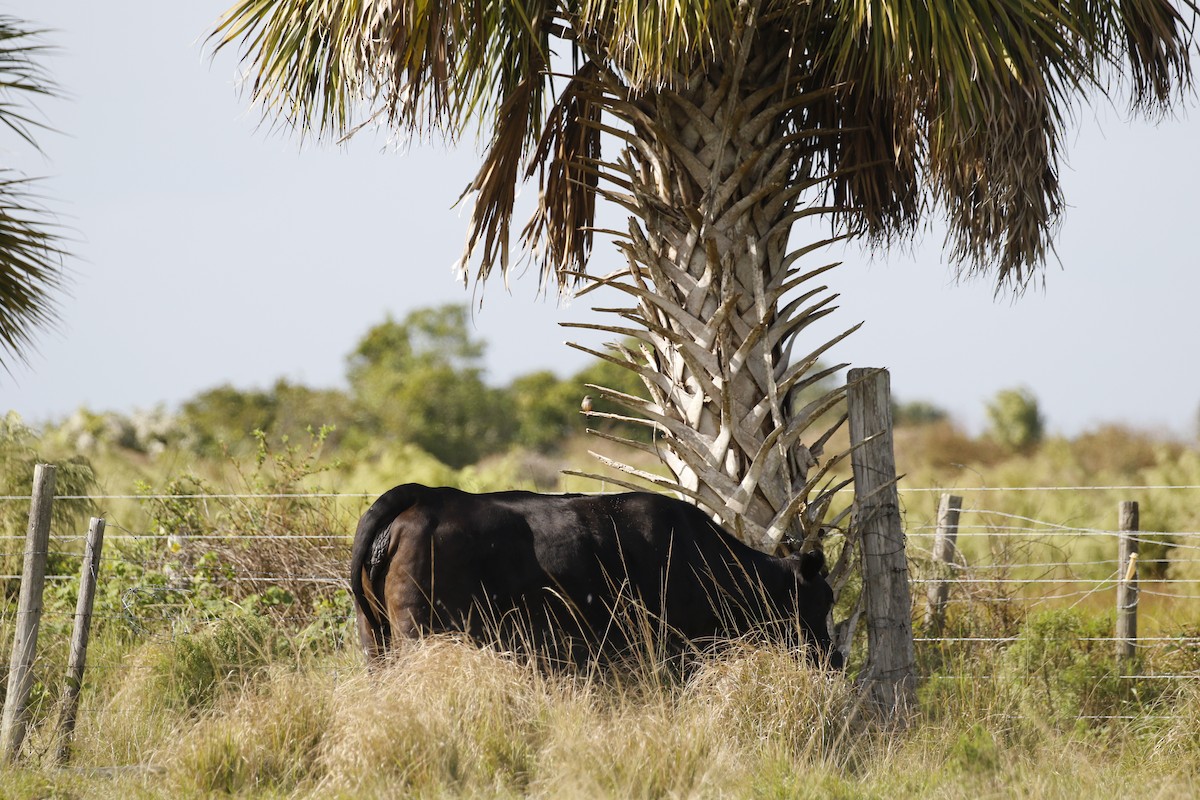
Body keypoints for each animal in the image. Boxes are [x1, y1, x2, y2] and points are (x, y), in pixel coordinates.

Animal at [350, 489, 844, 671]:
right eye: (824, 600)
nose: (835, 659)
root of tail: (430, 495)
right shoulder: (674, 651)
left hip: (377, 642)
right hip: (422, 636)